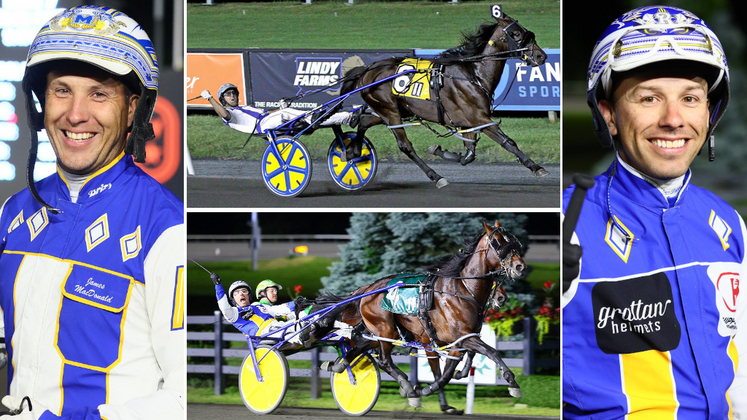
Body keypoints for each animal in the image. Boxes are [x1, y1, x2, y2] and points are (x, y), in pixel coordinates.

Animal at [344, 12, 548, 187]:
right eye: (516, 34)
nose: (541, 56)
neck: (473, 74)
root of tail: (367, 70)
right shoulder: (478, 118)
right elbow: (508, 142)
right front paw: (537, 167)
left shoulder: (467, 122)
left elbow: (469, 155)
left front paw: (438, 150)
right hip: (390, 111)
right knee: (405, 146)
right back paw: (436, 176)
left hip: (393, 111)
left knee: (363, 121)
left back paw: (353, 151)